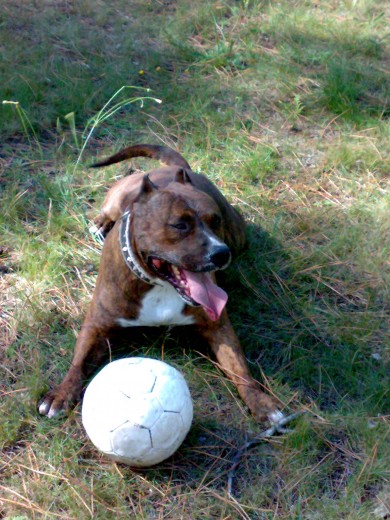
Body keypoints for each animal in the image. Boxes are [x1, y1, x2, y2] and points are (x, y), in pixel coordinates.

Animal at [38, 144, 284, 424]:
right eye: (180, 225)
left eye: (216, 221)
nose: (221, 253)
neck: (158, 285)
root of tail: (179, 168)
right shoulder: (97, 326)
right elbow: (78, 362)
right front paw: (60, 393)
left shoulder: (218, 326)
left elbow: (240, 369)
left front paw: (262, 402)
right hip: (116, 197)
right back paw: (101, 223)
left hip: (238, 236)